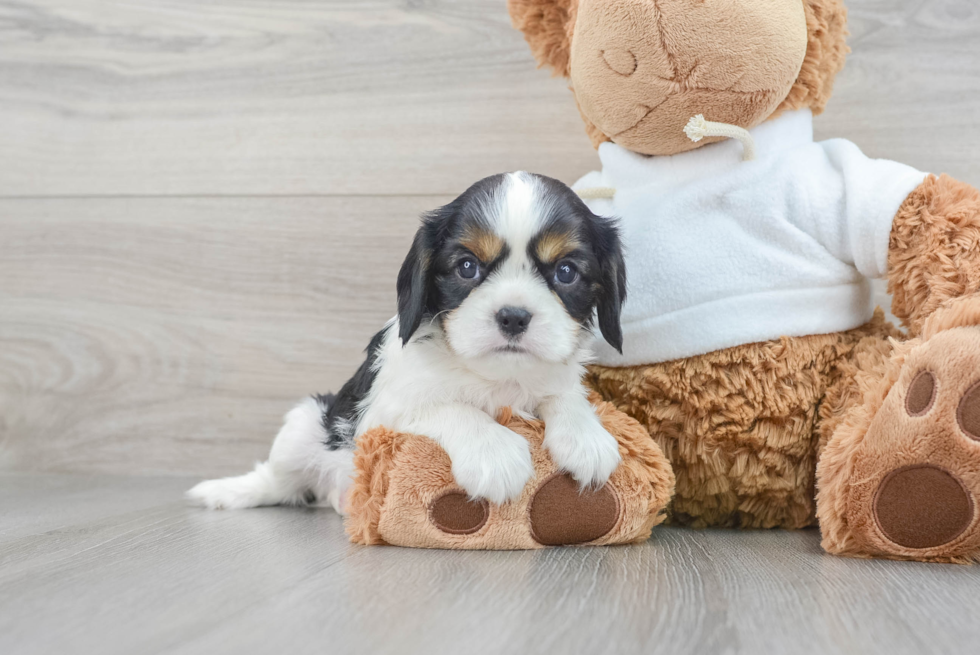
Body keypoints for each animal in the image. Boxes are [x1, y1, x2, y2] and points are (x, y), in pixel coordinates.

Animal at [188, 172, 624, 516]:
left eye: (566, 272)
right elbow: (450, 407)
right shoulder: (382, 414)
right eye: (467, 266)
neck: (495, 378)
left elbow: (566, 396)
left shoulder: (556, 378)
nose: (513, 316)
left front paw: (586, 438)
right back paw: (226, 492)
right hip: (304, 423)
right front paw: (494, 453)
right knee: (278, 482)